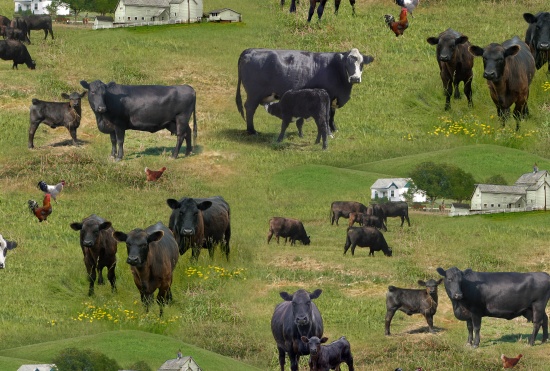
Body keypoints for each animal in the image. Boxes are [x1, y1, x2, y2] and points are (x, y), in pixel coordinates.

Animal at [237, 47, 376, 136]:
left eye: (361, 64)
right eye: (346, 64)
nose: (355, 78)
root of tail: (250, 50)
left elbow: (332, 115)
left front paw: (334, 129)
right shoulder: (328, 96)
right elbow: (327, 115)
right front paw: (329, 133)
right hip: (254, 94)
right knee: (249, 108)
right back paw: (252, 131)